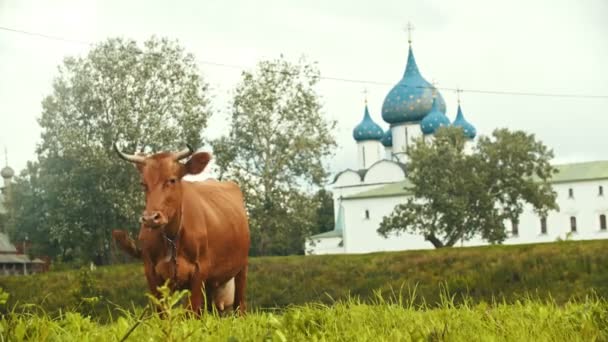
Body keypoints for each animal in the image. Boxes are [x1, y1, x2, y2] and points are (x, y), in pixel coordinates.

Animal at [111, 144, 249, 316]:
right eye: (143, 183)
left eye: (172, 180)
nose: (150, 218)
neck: (172, 238)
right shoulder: (151, 272)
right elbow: (162, 312)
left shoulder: (199, 271)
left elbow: (191, 311)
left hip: (241, 268)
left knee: (239, 306)